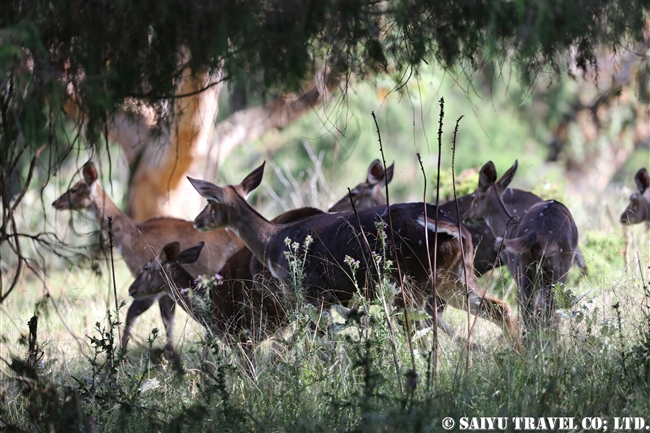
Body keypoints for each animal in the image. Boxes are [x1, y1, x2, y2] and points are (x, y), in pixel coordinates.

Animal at [52, 160, 246, 352]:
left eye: (73, 189)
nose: (55, 203)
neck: (132, 237)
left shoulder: (151, 285)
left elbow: (136, 312)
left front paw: (123, 352)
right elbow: (167, 318)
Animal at [186, 162, 516, 344]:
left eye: (210, 201)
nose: (197, 221)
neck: (273, 243)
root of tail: (455, 230)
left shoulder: (311, 292)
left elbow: (321, 345)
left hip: (408, 283)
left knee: (420, 330)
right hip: (454, 277)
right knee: (501, 308)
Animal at [460, 160, 576, 332]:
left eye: (473, 195)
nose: (465, 216)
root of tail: (534, 233)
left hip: (528, 270)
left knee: (534, 308)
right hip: (552, 271)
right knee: (547, 309)